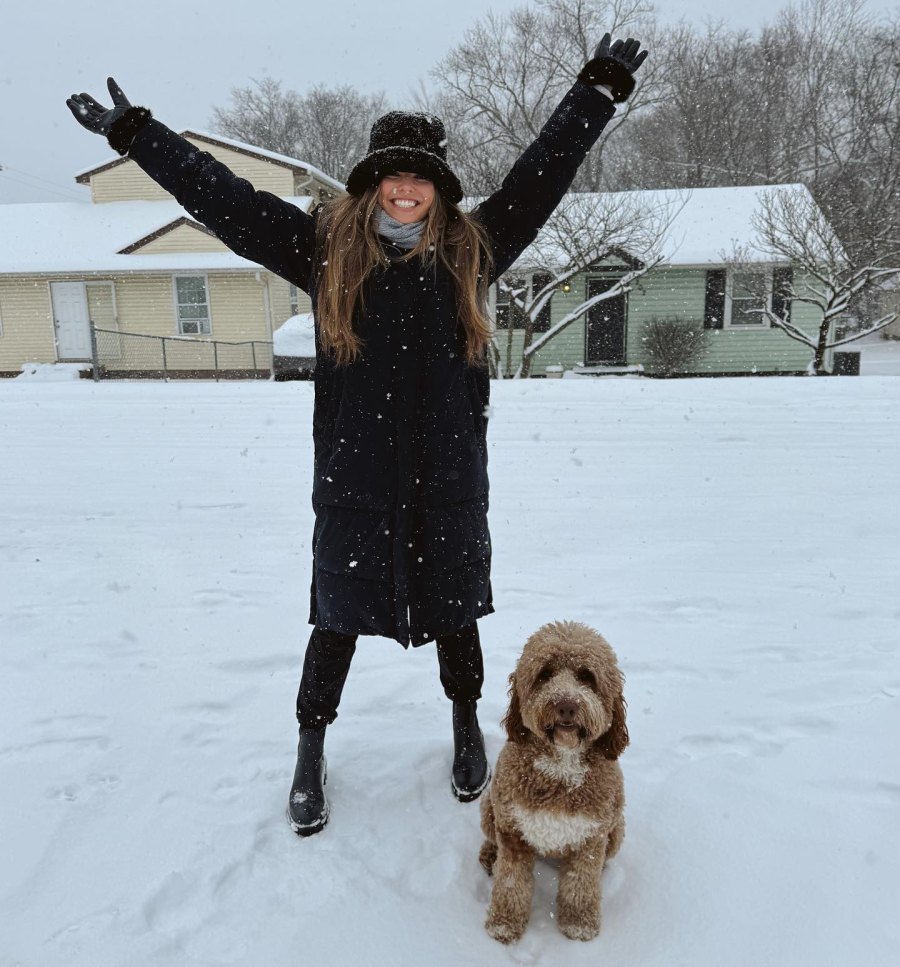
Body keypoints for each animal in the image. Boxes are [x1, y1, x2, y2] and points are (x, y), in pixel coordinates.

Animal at [478, 620, 624, 944]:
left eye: (587, 677)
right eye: (544, 674)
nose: (566, 705)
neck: (560, 765)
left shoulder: (591, 838)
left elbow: (581, 884)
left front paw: (579, 925)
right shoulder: (512, 831)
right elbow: (511, 882)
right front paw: (504, 924)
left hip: (617, 831)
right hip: (488, 807)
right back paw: (489, 855)